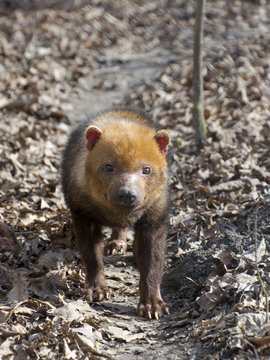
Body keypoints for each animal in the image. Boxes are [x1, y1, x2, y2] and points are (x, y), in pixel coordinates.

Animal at [62, 108, 170, 320]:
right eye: (108, 167)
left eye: (146, 169)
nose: (127, 194)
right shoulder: (83, 213)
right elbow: (92, 256)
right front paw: (96, 290)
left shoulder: (155, 217)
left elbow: (153, 262)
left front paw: (152, 306)